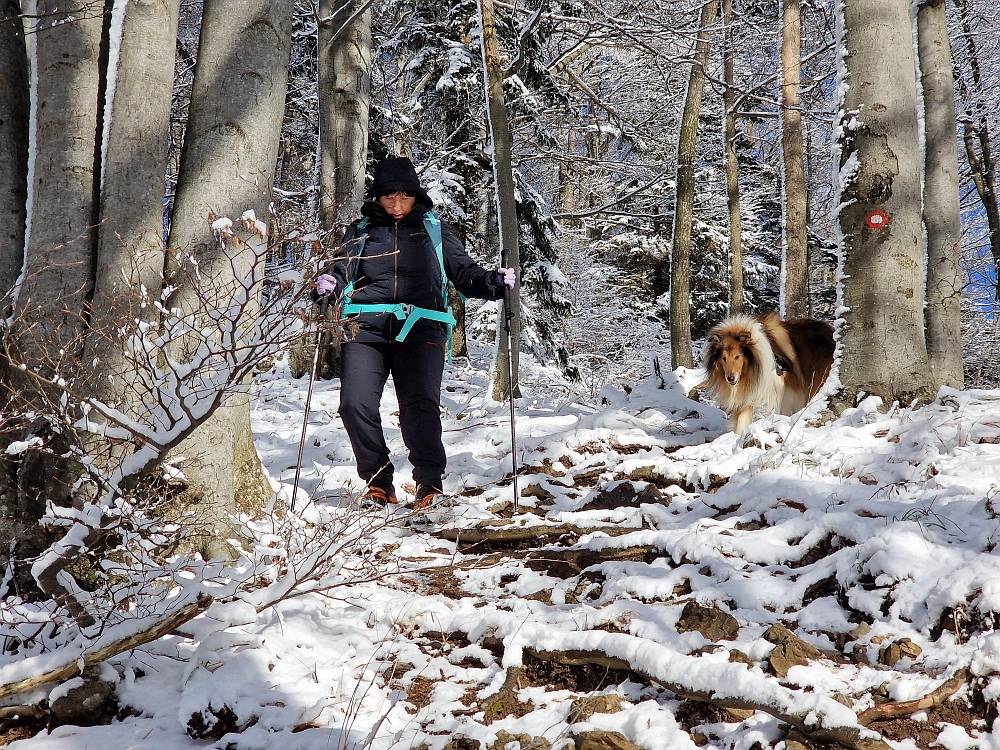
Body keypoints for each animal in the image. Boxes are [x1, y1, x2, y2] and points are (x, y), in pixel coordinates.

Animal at [704, 314, 836, 434]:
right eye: (724, 358)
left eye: (737, 356)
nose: (730, 379)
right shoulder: (749, 391)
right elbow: (742, 418)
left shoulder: (789, 390)